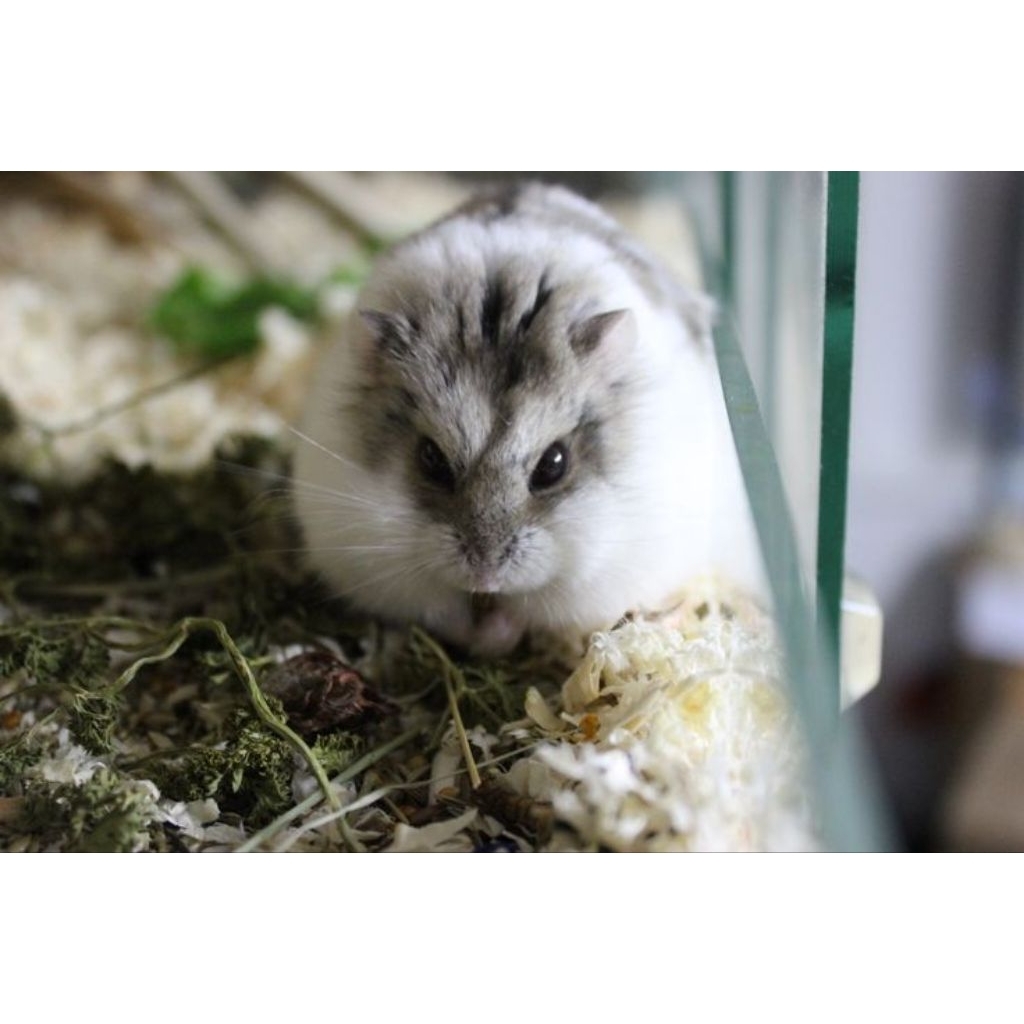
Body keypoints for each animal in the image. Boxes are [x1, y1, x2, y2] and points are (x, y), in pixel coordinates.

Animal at [292, 183, 763, 655]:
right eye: (432, 460)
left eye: (553, 465)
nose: (485, 577)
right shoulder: (376, 559)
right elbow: (444, 611)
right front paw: (480, 632)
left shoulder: (598, 578)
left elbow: (528, 614)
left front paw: (497, 630)